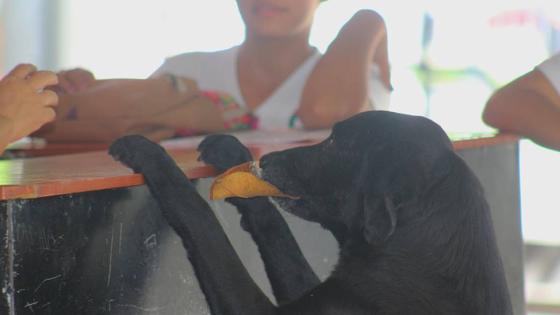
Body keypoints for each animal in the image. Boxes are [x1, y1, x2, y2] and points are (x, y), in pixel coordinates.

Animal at [108, 110, 512, 314]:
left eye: (334, 142)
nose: (266, 160)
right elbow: (275, 228)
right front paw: (233, 153)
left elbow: (202, 220)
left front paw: (151, 155)